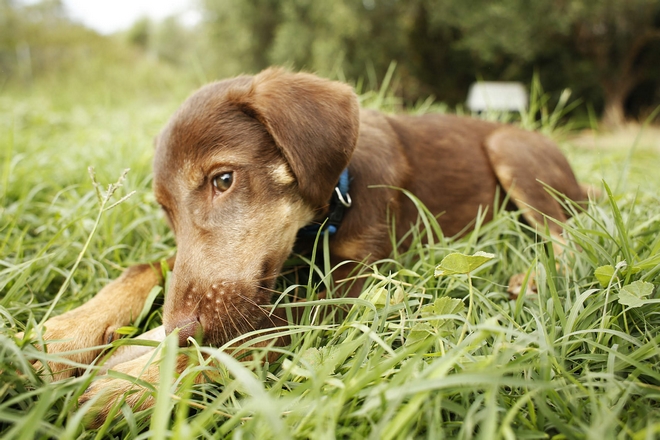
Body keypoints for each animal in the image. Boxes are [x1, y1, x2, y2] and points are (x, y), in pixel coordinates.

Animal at [23, 68, 584, 422]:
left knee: (570, 233)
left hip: (514, 153)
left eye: (223, 179)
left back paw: (531, 279)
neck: (331, 206)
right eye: (165, 210)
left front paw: (133, 383)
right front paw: (72, 332)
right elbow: (153, 264)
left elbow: (259, 332)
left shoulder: (363, 287)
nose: (179, 328)